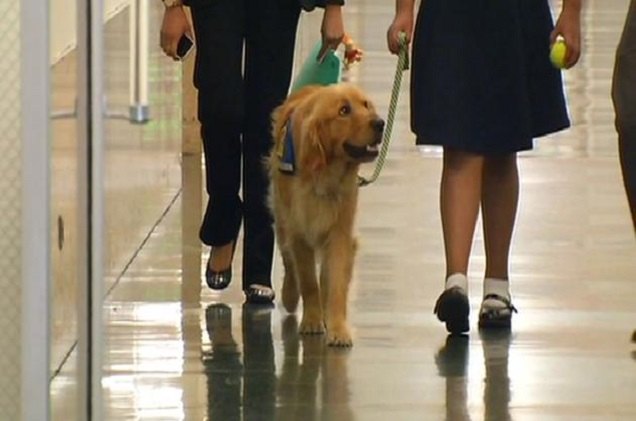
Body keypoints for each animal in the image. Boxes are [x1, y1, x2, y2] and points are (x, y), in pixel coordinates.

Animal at [268, 83, 386, 346]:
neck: (326, 175)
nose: (380, 123)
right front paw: (311, 320)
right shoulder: (299, 232)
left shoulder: (340, 233)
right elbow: (308, 281)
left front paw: (338, 328)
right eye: (344, 111)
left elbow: (335, 284)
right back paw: (290, 295)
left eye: (366, 105)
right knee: (289, 263)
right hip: (282, 221)